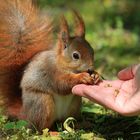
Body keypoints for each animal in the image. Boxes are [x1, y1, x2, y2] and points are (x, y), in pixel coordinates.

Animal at [0, 0, 99, 131]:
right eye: (75, 55)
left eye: (92, 51)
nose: (90, 69)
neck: (63, 64)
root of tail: (26, 115)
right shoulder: (51, 72)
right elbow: (62, 84)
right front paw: (81, 77)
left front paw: (97, 75)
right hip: (42, 103)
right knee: (41, 128)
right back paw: (52, 132)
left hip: (75, 103)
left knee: (64, 122)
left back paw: (82, 124)